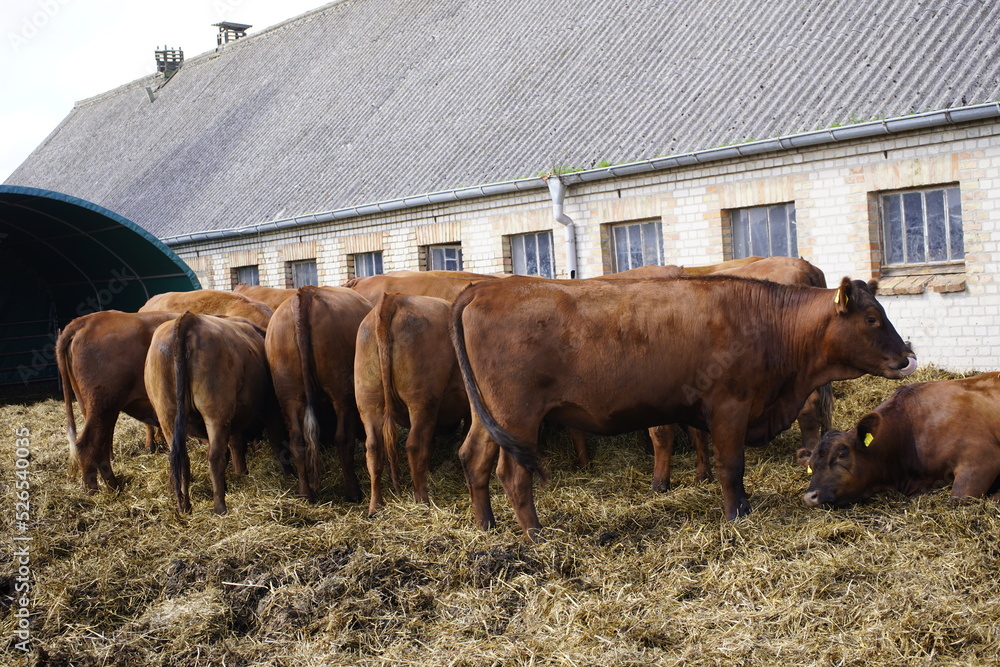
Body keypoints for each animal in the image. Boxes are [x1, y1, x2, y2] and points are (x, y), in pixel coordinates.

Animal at [56, 310, 179, 491]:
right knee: (88, 444)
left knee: (102, 445)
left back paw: (114, 486)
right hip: (103, 404)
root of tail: (85, 321)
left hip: (97, 408)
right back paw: (93, 491)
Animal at [144, 312, 276, 514]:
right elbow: (235, 446)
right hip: (216, 413)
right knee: (215, 457)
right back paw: (220, 506)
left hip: (167, 413)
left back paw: (184, 507)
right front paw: (241, 472)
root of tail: (188, 320)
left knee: (182, 459)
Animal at [265, 286, 373, 503]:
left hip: (289, 394)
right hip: (341, 391)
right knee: (342, 439)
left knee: (297, 441)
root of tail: (303, 294)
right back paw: (353, 492)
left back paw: (305, 493)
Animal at [355, 293, 470, 515]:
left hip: (368, 400)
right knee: (414, 445)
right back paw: (422, 499)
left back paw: (375, 506)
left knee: (373, 447)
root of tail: (393, 299)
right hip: (422, 401)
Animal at [451, 275, 916, 539]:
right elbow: (731, 466)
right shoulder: (730, 407)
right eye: (872, 319)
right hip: (518, 415)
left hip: (489, 416)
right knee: (513, 475)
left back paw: (486, 527)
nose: (905, 357)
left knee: (474, 459)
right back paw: (535, 536)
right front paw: (736, 517)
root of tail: (485, 287)